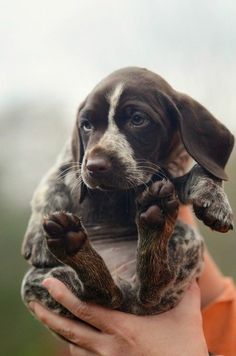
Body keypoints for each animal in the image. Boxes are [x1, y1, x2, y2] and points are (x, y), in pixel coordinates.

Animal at [21, 67, 233, 318]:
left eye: (138, 120)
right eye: (86, 125)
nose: (95, 166)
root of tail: (128, 297)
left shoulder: (168, 179)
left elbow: (202, 171)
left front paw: (216, 201)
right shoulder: (69, 163)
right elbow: (49, 186)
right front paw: (36, 237)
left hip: (187, 240)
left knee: (148, 289)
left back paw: (154, 221)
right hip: (39, 280)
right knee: (103, 295)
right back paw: (72, 243)